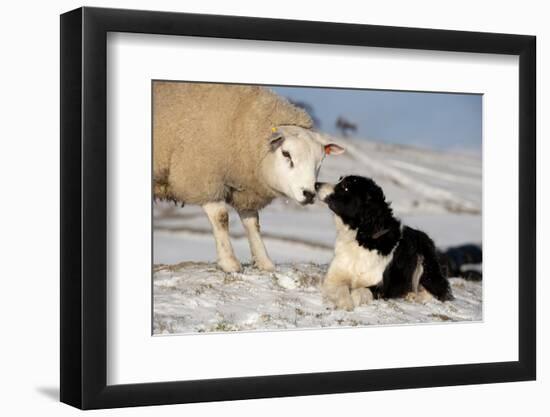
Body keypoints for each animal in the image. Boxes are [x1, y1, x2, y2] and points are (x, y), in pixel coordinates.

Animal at [153, 82, 344, 272]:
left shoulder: (245, 191)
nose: (309, 194)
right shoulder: (203, 178)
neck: (238, 124)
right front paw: (229, 262)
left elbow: (253, 224)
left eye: (320, 161)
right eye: (286, 154)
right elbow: (221, 217)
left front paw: (264, 261)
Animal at [316, 175, 454, 308]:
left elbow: (360, 291)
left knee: (438, 291)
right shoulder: (334, 277)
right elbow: (341, 288)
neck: (361, 237)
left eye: (345, 187)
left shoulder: (380, 287)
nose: (316, 184)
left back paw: (413, 296)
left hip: (425, 262)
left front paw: (351, 301)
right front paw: (345, 303)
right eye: (340, 179)